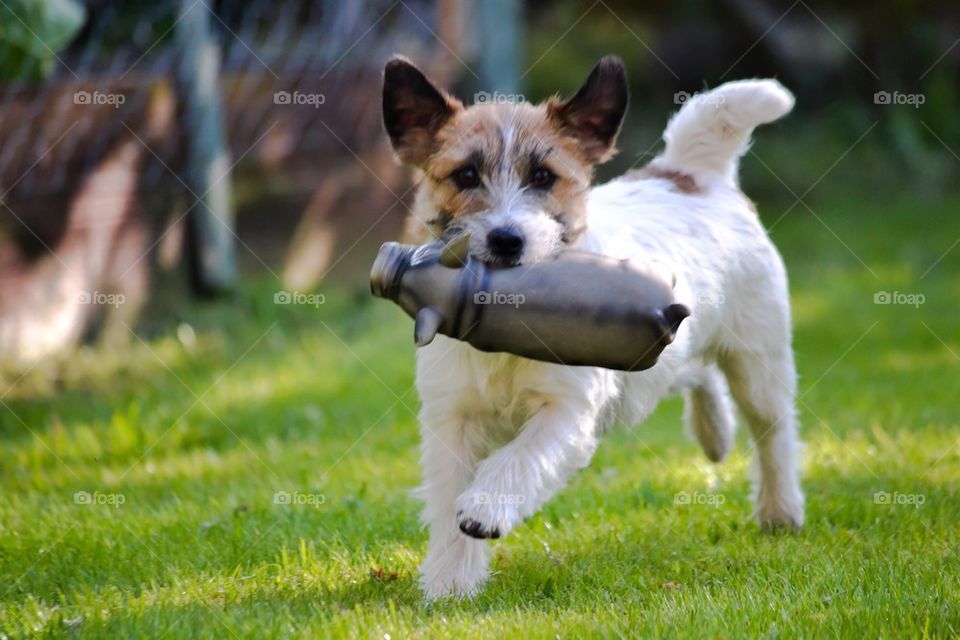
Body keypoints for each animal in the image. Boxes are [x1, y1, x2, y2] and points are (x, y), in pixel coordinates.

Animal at [380, 55, 804, 600]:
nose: (507, 239)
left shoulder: (566, 412)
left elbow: (518, 459)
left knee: (773, 432)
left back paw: (780, 510)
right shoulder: (452, 419)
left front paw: (485, 509)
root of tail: (688, 173)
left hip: (757, 360)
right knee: (694, 374)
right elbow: (448, 494)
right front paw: (450, 583)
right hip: (656, 357)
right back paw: (715, 432)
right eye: (466, 175)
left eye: (543, 176)